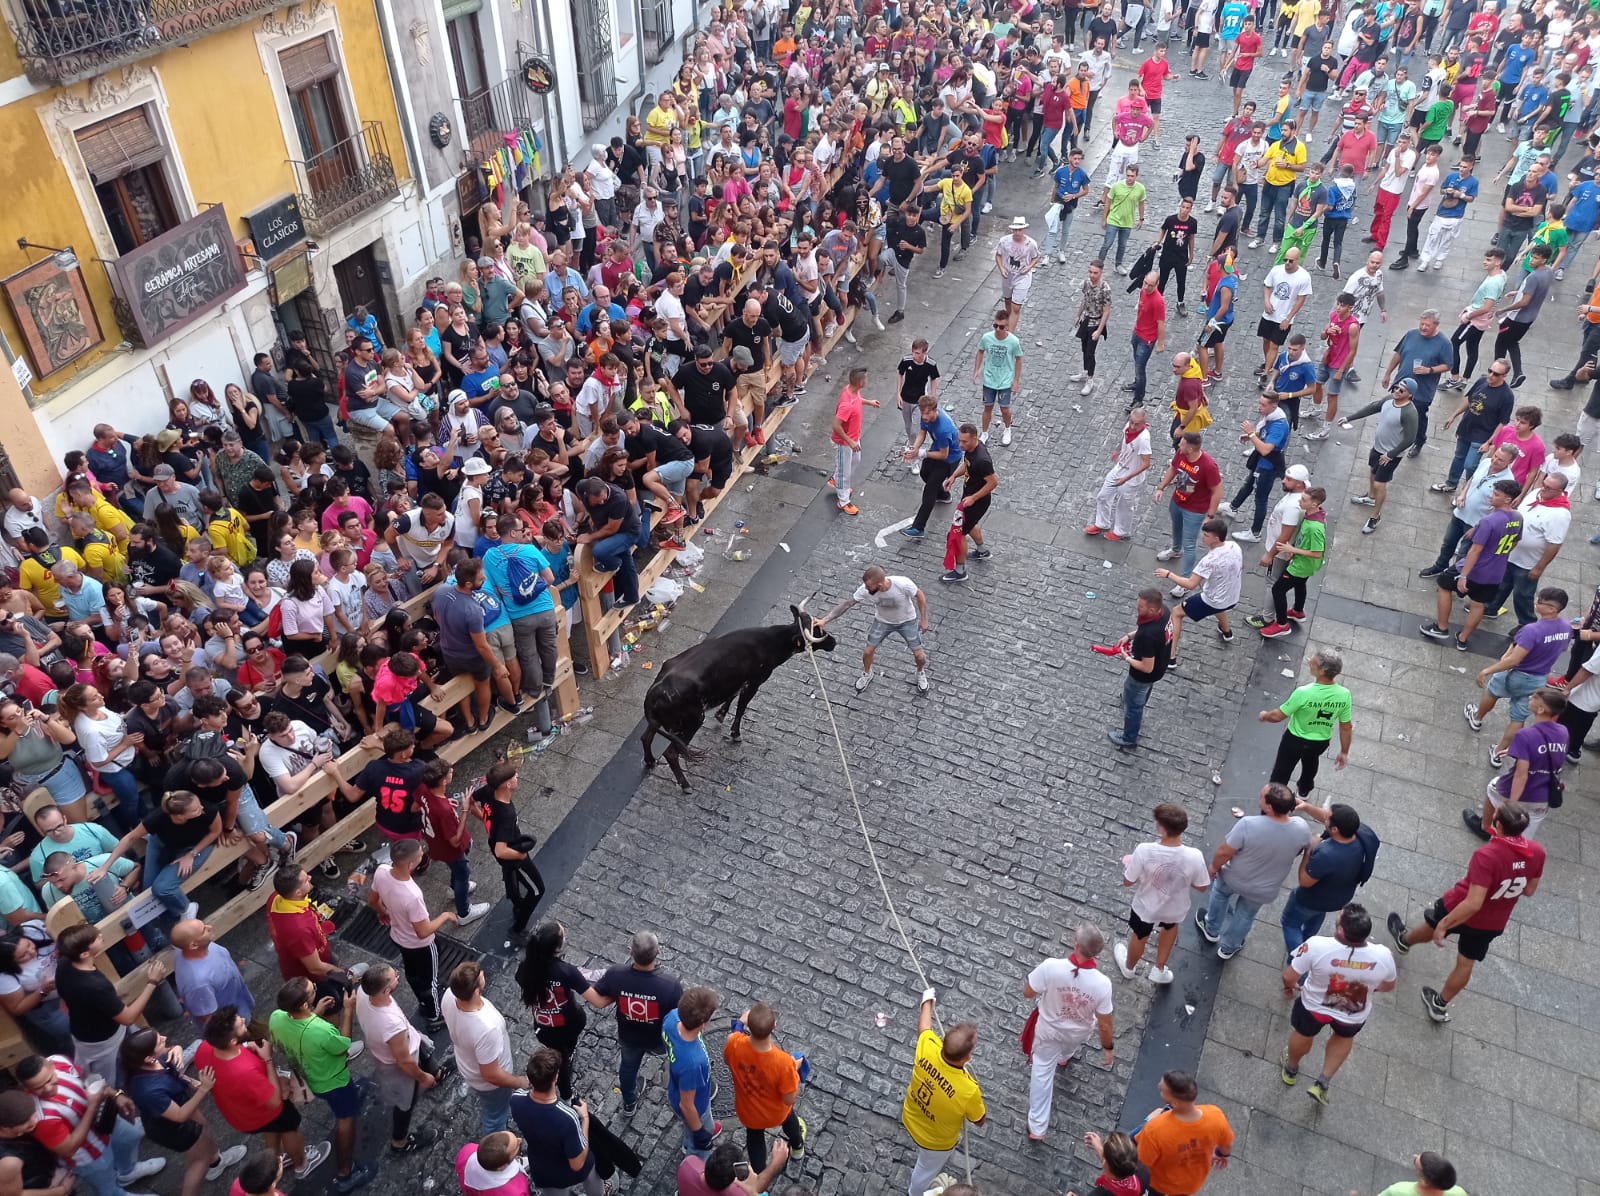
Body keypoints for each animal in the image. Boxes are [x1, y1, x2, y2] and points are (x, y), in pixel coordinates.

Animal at [640, 601, 838, 789]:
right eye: (817, 632)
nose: (834, 641)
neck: (772, 641)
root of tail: (654, 692)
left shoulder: (736, 680)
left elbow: (732, 695)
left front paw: (721, 714)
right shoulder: (755, 682)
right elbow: (742, 707)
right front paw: (735, 733)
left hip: (661, 723)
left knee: (646, 737)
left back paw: (650, 762)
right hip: (690, 723)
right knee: (671, 753)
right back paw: (685, 785)